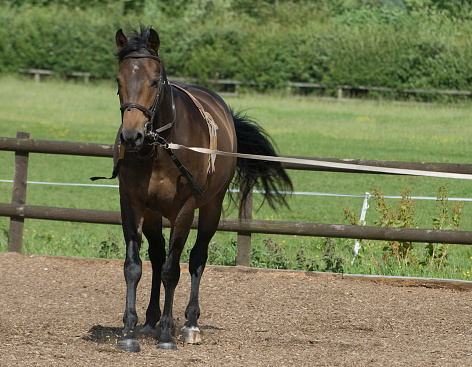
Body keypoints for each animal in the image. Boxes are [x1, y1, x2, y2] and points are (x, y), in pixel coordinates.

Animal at [110, 25, 292, 354]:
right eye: (119, 80)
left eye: (154, 81)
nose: (132, 136)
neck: (160, 148)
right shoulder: (132, 204)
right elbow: (134, 266)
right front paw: (129, 333)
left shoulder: (184, 209)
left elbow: (173, 271)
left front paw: (167, 335)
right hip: (154, 214)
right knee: (157, 257)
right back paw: (150, 320)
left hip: (210, 209)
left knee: (195, 259)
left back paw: (190, 324)